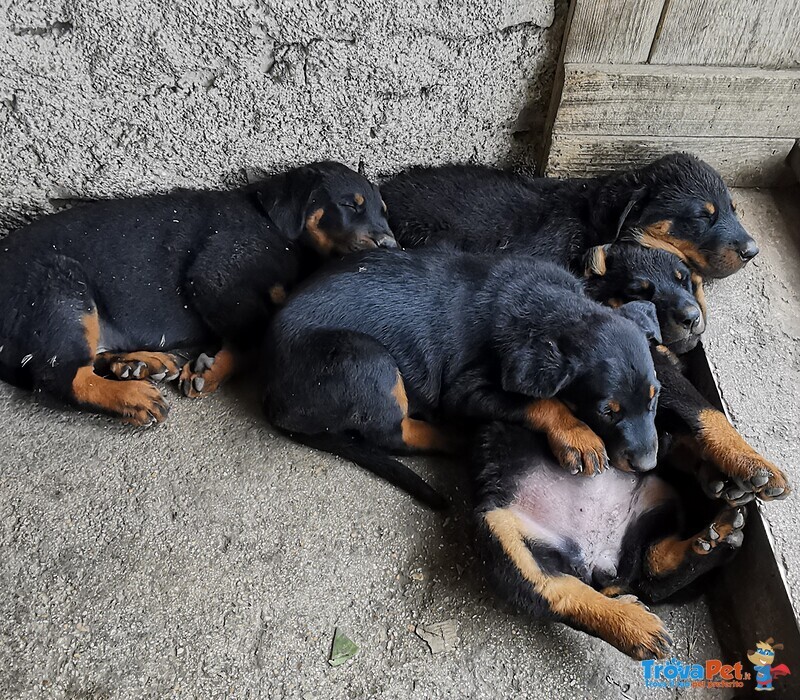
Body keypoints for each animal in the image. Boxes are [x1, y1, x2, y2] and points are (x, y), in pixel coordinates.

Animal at [0, 161, 396, 424]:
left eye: (384, 213)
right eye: (349, 204)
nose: (390, 244)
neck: (278, 229)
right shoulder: (215, 276)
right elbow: (256, 332)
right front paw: (213, 368)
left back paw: (136, 363)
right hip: (59, 288)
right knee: (57, 376)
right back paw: (131, 395)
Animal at [262, 250, 664, 508]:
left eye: (654, 397)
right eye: (606, 411)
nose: (647, 465)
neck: (550, 307)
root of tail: (272, 398)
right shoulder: (464, 390)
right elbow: (540, 401)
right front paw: (578, 436)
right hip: (368, 360)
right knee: (391, 434)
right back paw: (454, 435)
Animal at [472, 422, 748, 660]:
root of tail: (600, 557)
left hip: (657, 502)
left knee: (652, 561)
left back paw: (718, 526)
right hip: (500, 530)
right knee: (559, 592)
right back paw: (636, 628)